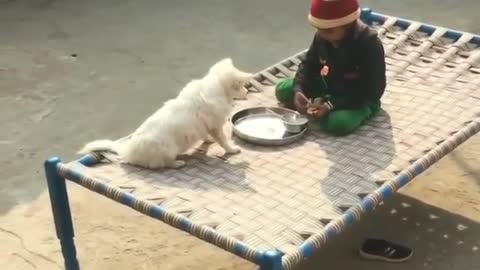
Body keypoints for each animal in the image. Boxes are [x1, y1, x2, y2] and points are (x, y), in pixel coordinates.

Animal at [78, 58, 251, 169]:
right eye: (241, 85)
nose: (247, 92)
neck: (217, 86)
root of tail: (129, 152)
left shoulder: (209, 126)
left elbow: (207, 135)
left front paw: (207, 140)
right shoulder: (216, 126)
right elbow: (223, 140)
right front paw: (232, 149)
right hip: (168, 150)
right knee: (162, 164)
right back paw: (178, 163)